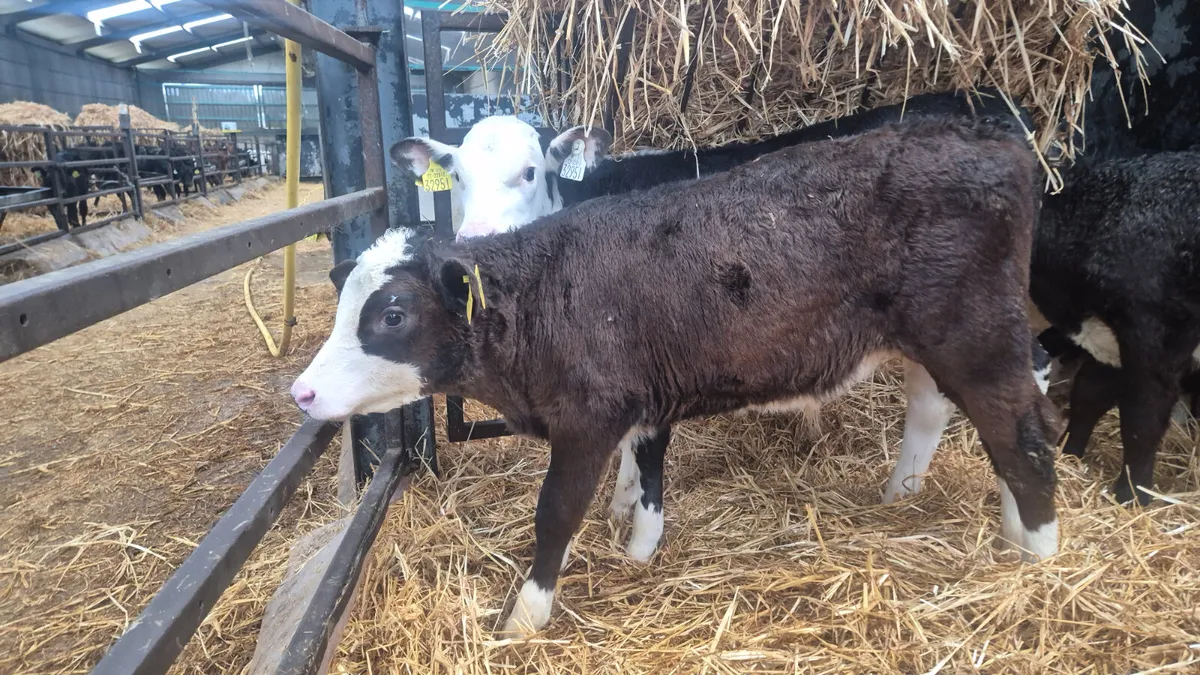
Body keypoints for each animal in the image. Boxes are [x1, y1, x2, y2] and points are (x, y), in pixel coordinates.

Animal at [293, 118, 1059, 638]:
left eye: (392, 312)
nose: (301, 392)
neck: (547, 291)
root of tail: (998, 145)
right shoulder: (646, 395)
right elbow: (649, 474)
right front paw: (638, 551)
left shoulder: (588, 417)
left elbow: (556, 513)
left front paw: (526, 616)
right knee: (971, 425)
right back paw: (976, 523)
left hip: (977, 338)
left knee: (1022, 436)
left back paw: (1040, 561)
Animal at [1028, 151, 1200, 505]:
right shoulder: (1111, 343)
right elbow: (1088, 394)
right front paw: (1069, 452)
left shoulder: (1155, 345)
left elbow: (1141, 422)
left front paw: (1132, 495)